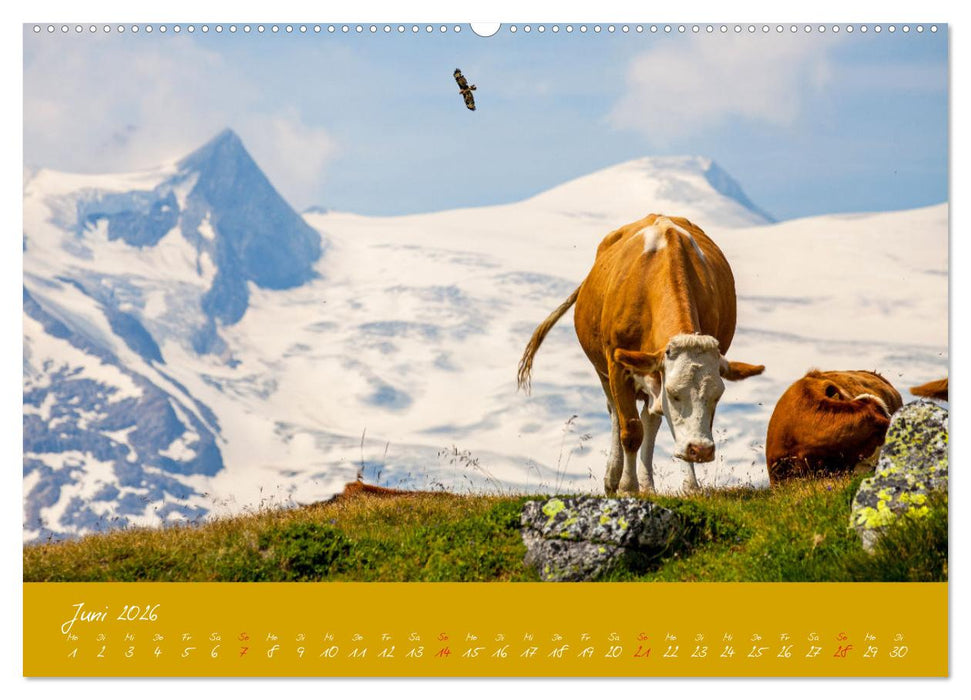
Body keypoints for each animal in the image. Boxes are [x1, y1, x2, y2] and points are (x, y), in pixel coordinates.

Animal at [518, 214, 764, 495]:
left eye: (718, 395)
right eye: (674, 393)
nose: (701, 450)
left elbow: (667, 428)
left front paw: (690, 486)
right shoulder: (618, 367)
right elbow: (631, 431)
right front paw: (627, 487)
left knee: (650, 420)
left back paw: (648, 483)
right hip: (605, 372)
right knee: (617, 415)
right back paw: (613, 478)